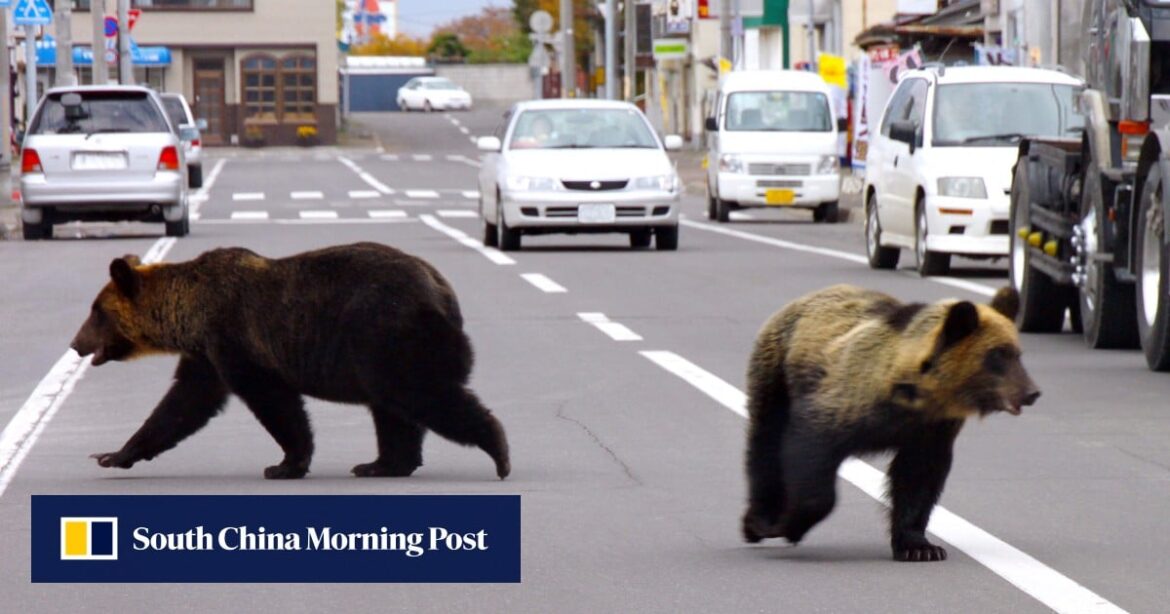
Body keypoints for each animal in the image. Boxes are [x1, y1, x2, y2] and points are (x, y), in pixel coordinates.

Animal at [69, 242, 510, 481]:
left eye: (96, 312)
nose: (75, 344)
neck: (189, 314)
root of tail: (443, 292)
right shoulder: (206, 355)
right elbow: (182, 405)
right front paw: (113, 454)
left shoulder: (234, 339)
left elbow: (273, 401)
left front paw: (285, 464)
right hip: (382, 348)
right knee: (392, 409)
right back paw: (381, 463)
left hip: (387, 334)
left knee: (421, 394)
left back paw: (498, 451)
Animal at [740, 284, 1039, 562]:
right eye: (998, 354)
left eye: (1018, 353)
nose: (1032, 392)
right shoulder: (844, 403)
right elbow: (811, 452)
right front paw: (789, 525)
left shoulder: (931, 430)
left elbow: (918, 478)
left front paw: (920, 547)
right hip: (777, 372)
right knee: (765, 440)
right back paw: (758, 520)